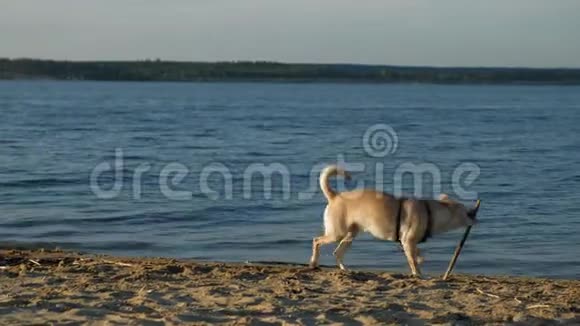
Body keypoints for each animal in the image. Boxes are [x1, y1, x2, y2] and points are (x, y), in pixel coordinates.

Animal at [308, 164, 476, 276]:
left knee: (337, 253)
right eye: (467, 213)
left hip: (349, 236)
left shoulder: (409, 243)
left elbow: (417, 255)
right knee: (317, 241)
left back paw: (345, 269)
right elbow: (413, 262)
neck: (429, 211)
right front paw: (417, 274)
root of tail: (335, 196)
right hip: (337, 233)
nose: (475, 217)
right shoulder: (408, 242)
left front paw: (419, 260)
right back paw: (314, 262)